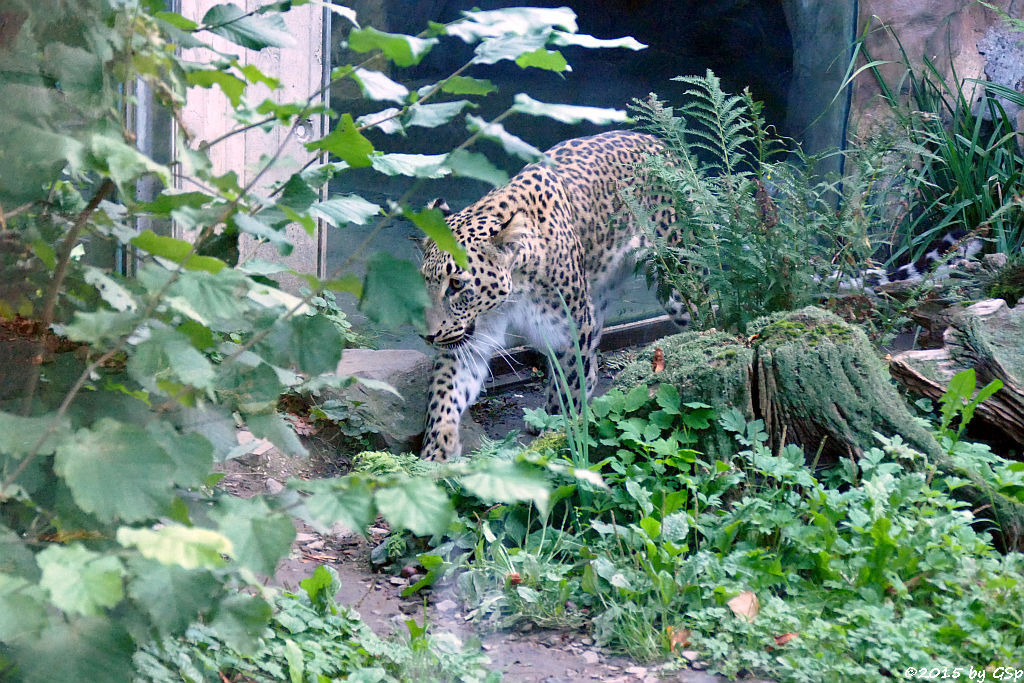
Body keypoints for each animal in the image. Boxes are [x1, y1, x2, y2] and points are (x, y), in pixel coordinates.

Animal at [419, 129, 684, 458]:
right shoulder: (470, 337)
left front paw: (559, 437)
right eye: (425, 279)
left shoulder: (572, 330)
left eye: (456, 284)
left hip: (677, 278)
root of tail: (658, 141)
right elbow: (446, 392)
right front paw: (437, 451)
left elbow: (568, 384)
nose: (427, 336)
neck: (510, 297)